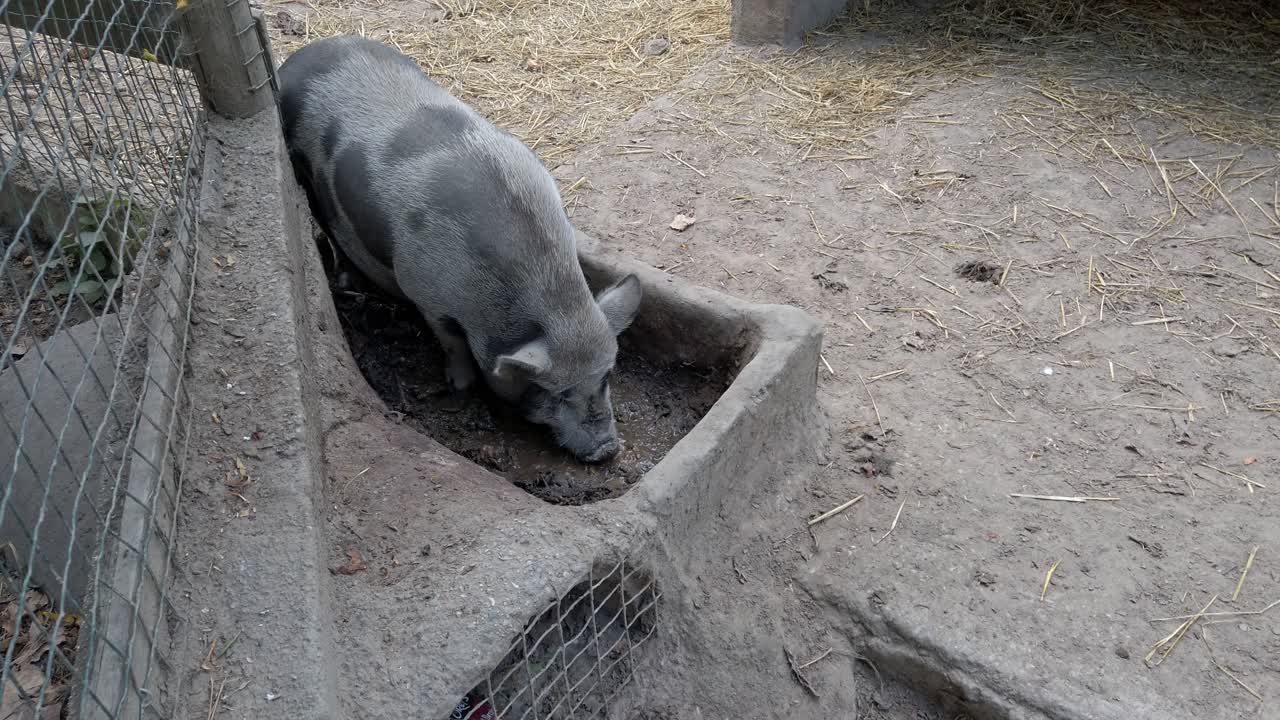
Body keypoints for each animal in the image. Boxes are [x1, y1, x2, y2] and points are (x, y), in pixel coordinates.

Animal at [276, 36, 642, 463]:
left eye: (606, 378)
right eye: (556, 393)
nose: (607, 450)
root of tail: (295, 59)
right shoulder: (426, 293)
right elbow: (452, 343)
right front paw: (461, 387)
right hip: (302, 171)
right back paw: (348, 277)